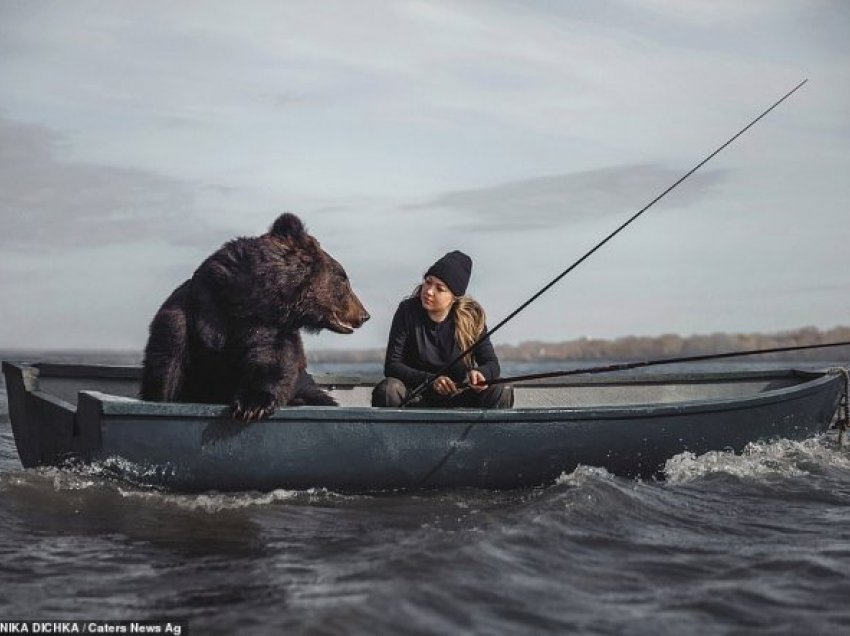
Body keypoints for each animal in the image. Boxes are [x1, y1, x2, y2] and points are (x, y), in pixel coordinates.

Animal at [139, 214, 368, 420]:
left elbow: (270, 358)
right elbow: (167, 366)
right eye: (343, 278)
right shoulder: (194, 311)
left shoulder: (269, 325)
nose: (364, 314)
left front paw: (253, 404)